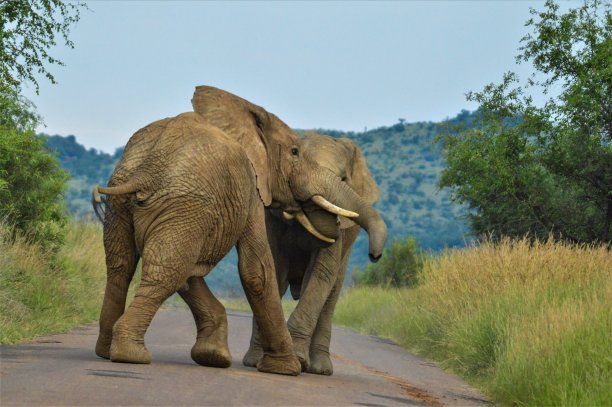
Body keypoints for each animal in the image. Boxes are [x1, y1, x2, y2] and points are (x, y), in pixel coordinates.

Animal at [243, 133, 382, 376]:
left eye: (344, 179)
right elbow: (273, 273)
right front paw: (271, 361)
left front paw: (298, 359)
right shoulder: (271, 220)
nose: (375, 256)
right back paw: (254, 360)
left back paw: (320, 369)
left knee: (331, 295)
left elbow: (320, 274)